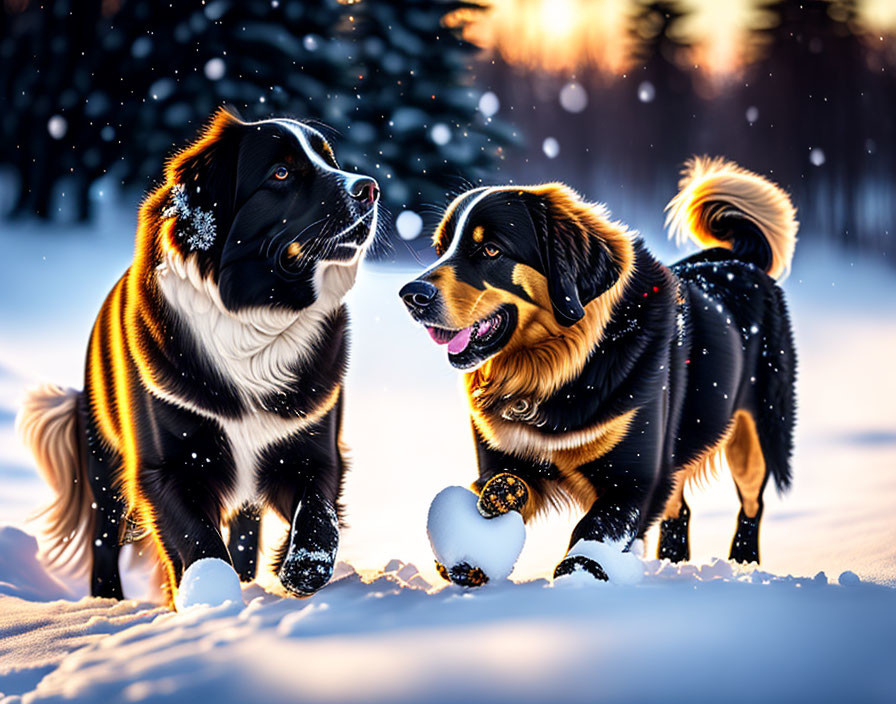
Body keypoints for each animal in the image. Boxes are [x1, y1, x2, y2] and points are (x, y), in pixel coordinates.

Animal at [18, 107, 378, 604]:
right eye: (281, 172)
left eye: (330, 159)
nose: (370, 188)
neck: (252, 314)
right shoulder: (166, 468)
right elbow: (199, 541)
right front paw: (209, 597)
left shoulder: (311, 447)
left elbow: (318, 512)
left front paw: (303, 569)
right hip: (103, 461)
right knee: (104, 535)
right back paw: (109, 599)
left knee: (246, 527)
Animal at [400, 158, 800, 584]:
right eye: (441, 250)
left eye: (490, 249)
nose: (411, 294)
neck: (559, 373)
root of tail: (738, 258)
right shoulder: (505, 458)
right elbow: (495, 495)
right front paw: (467, 553)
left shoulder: (633, 479)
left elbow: (593, 531)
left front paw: (579, 576)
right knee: (679, 510)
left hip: (755, 434)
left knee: (752, 504)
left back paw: (743, 563)